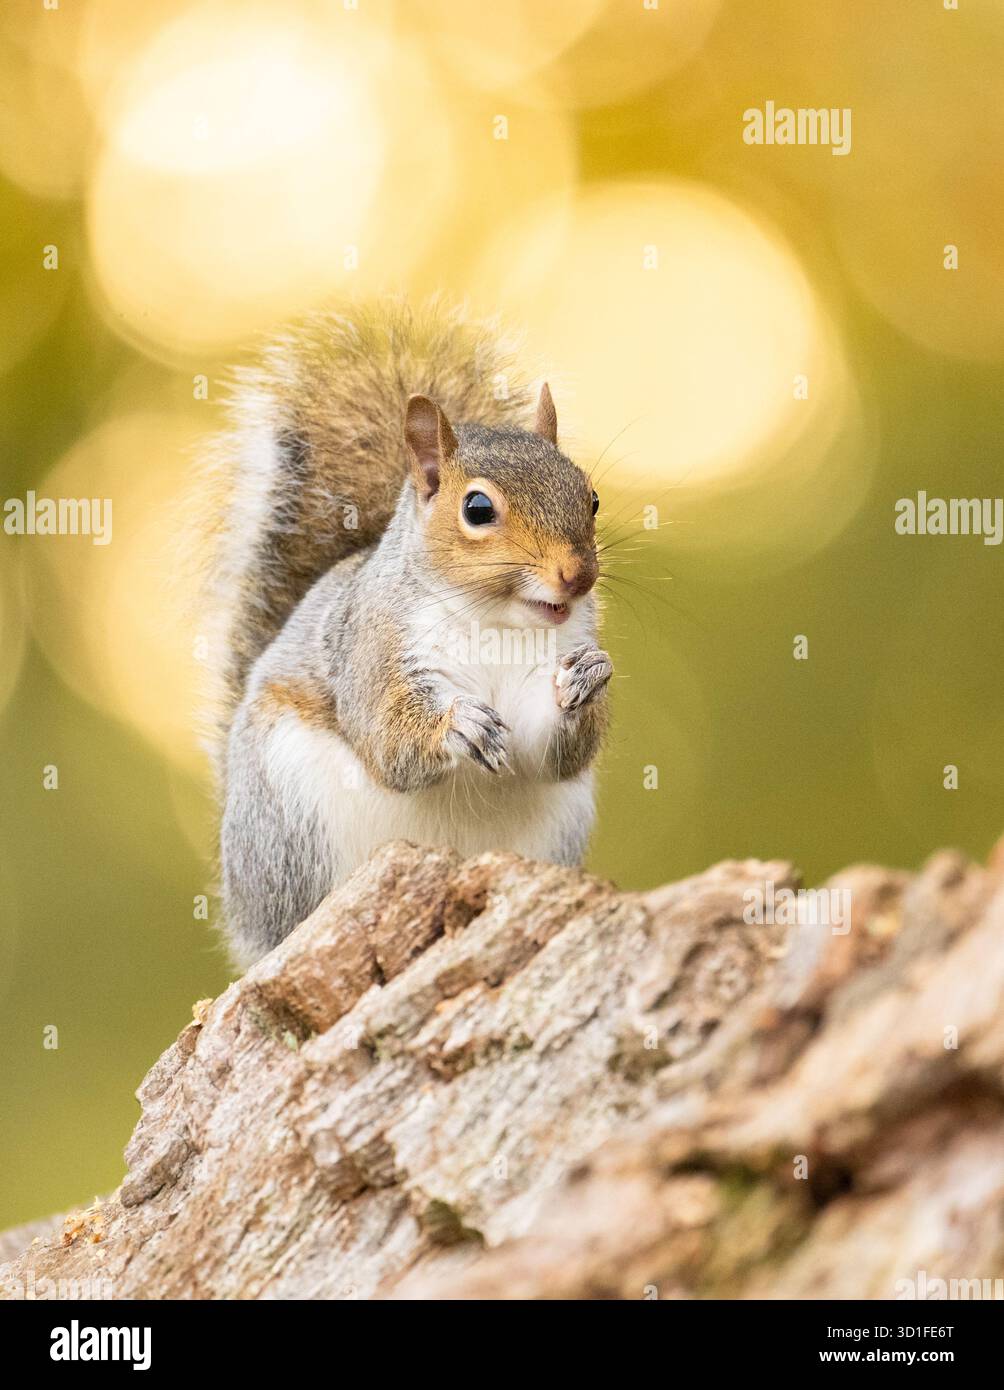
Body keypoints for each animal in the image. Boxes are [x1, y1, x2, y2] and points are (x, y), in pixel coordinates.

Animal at [202, 300, 612, 966]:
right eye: (477, 509)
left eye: (592, 497)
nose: (579, 576)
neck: (496, 620)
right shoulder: (373, 647)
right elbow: (387, 738)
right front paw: (455, 725)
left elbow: (548, 748)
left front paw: (586, 680)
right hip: (290, 823)